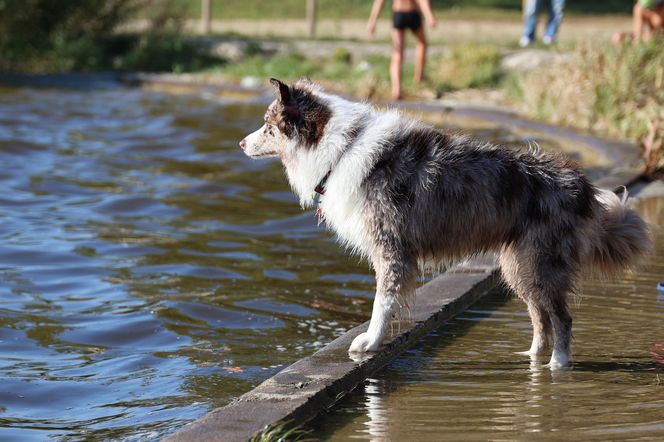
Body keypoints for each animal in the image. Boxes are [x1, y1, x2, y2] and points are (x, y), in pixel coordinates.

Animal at [241, 78, 652, 370]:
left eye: (268, 127)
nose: (242, 144)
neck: (339, 149)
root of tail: (581, 184)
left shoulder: (391, 247)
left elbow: (382, 302)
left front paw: (369, 343)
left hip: (540, 263)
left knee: (562, 318)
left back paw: (558, 365)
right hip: (518, 267)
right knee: (540, 317)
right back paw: (532, 356)